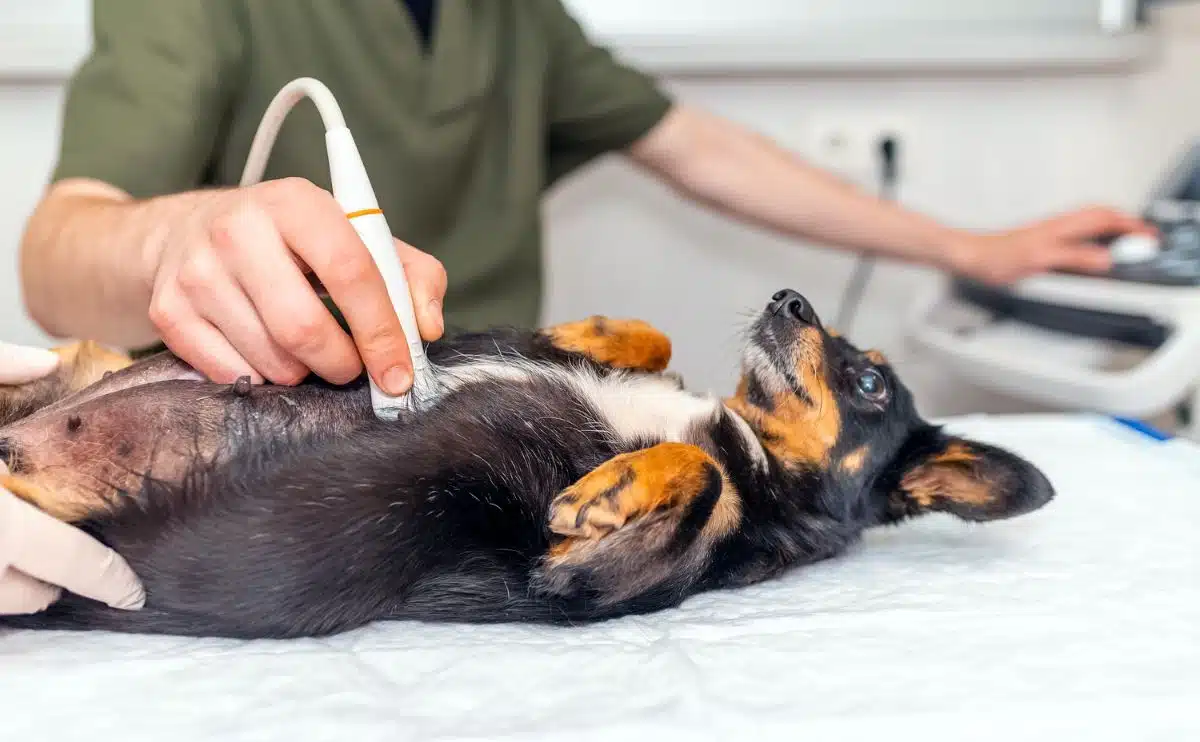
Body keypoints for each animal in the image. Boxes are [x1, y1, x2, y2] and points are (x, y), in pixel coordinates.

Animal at [0, 289, 1051, 633]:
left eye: (870, 381)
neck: (747, 438)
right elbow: (649, 340)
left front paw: (605, 490)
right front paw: (591, 333)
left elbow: (700, 479)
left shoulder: (570, 585)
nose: (790, 298)